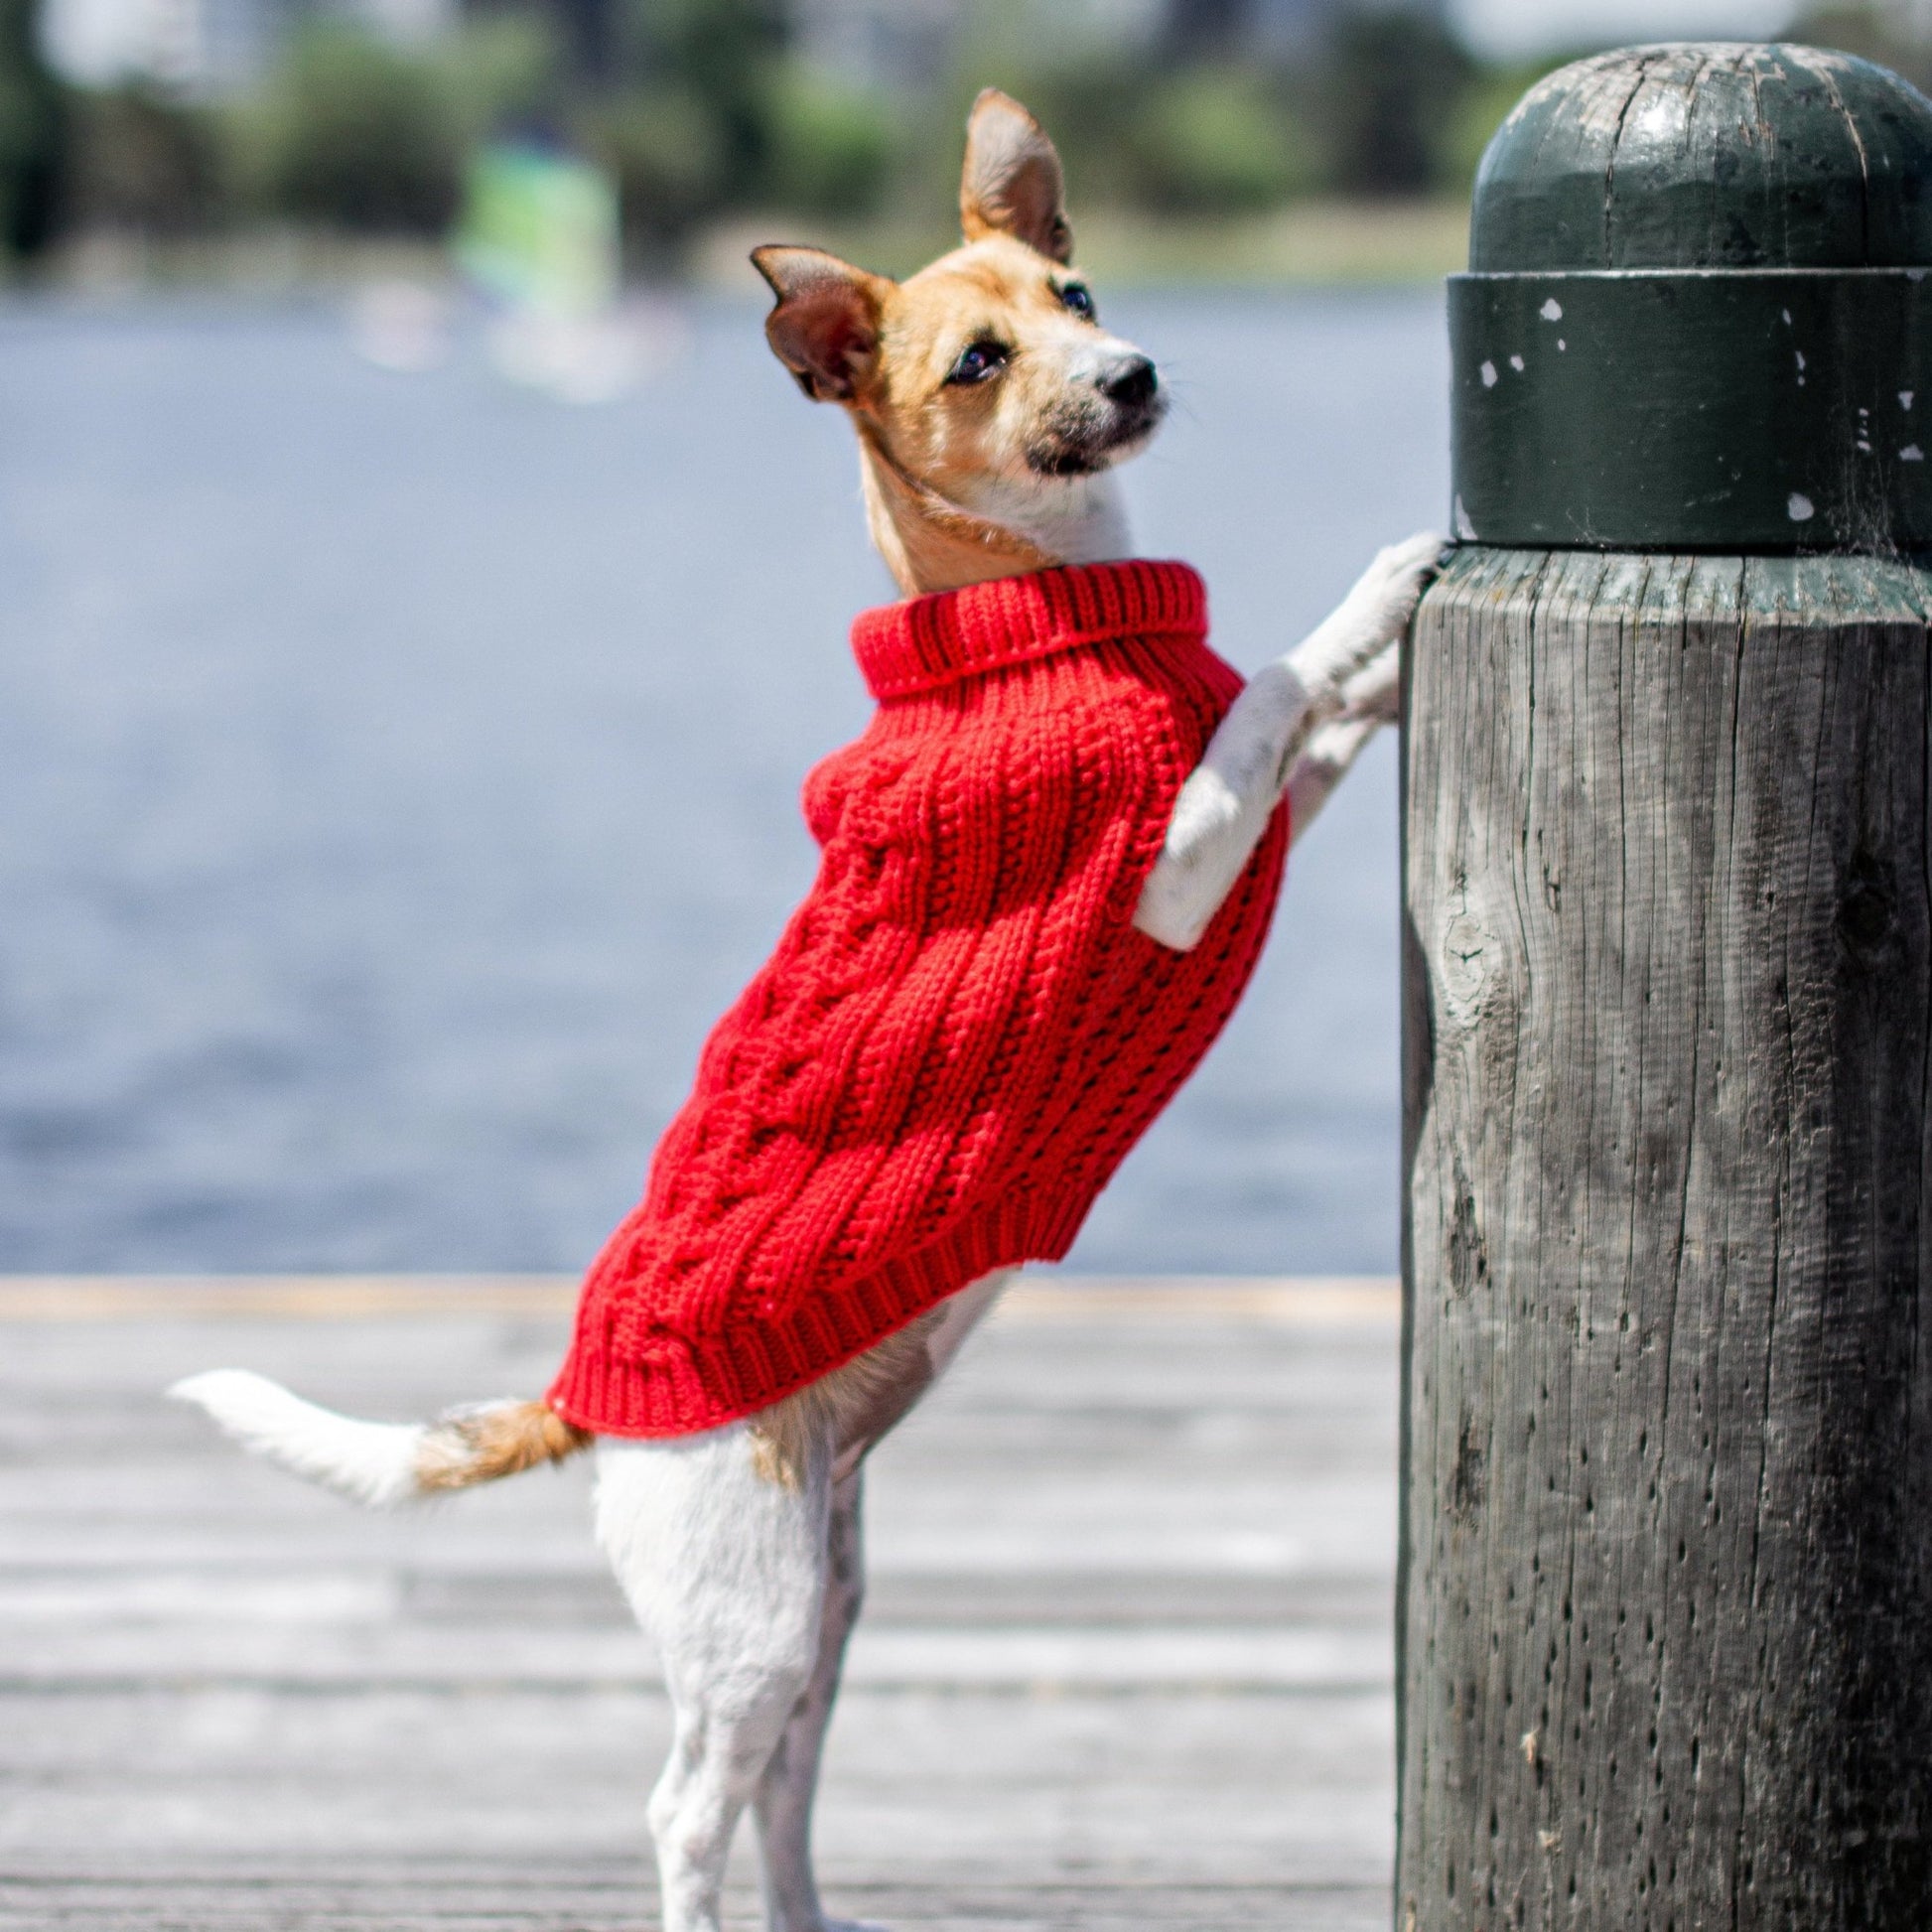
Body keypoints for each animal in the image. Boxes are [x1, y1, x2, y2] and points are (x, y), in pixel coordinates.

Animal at [174, 86, 1445, 1932]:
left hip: (829, 1608)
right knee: (685, 1806)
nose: (1132, 372)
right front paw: (1383, 582)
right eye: (978, 360)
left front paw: (1398, 663)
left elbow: (1307, 723)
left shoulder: (1246, 833)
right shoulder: (1175, 875)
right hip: (752, 1616)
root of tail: (581, 1396)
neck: (1024, 616)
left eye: (1077, 293)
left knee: (782, 1794)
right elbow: (1275, 679)